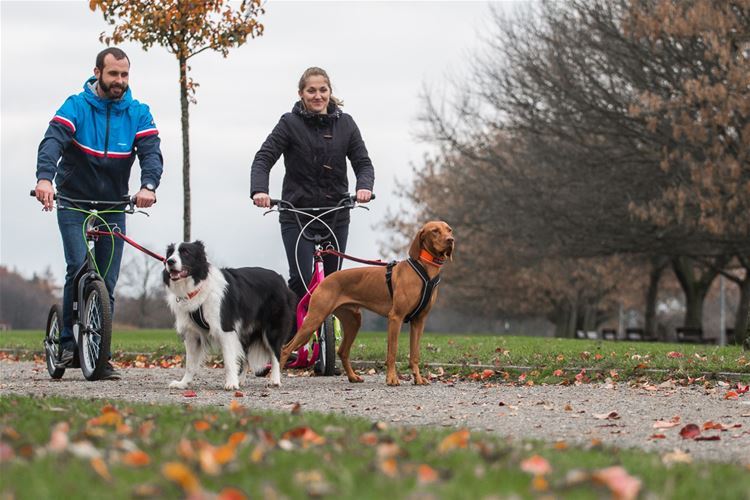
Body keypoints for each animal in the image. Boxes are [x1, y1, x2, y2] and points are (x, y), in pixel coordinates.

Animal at [162, 242, 296, 390]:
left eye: (186, 252)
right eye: (170, 253)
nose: (169, 261)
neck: (199, 285)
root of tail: (280, 279)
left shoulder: (225, 330)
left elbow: (229, 359)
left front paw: (231, 383)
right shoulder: (192, 334)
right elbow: (190, 364)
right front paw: (183, 383)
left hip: (272, 329)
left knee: (276, 353)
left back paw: (275, 380)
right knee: (245, 356)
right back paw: (241, 380)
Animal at [280, 222, 452, 386]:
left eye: (449, 229)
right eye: (435, 231)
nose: (451, 240)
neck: (425, 268)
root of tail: (324, 280)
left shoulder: (419, 321)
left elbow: (415, 354)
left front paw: (418, 379)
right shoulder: (395, 317)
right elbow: (392, 351)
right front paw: (392, 379)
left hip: (353, 320)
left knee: (342, 351)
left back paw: (352, 376)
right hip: (314, 319)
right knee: (286, 348)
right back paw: (276, 379)